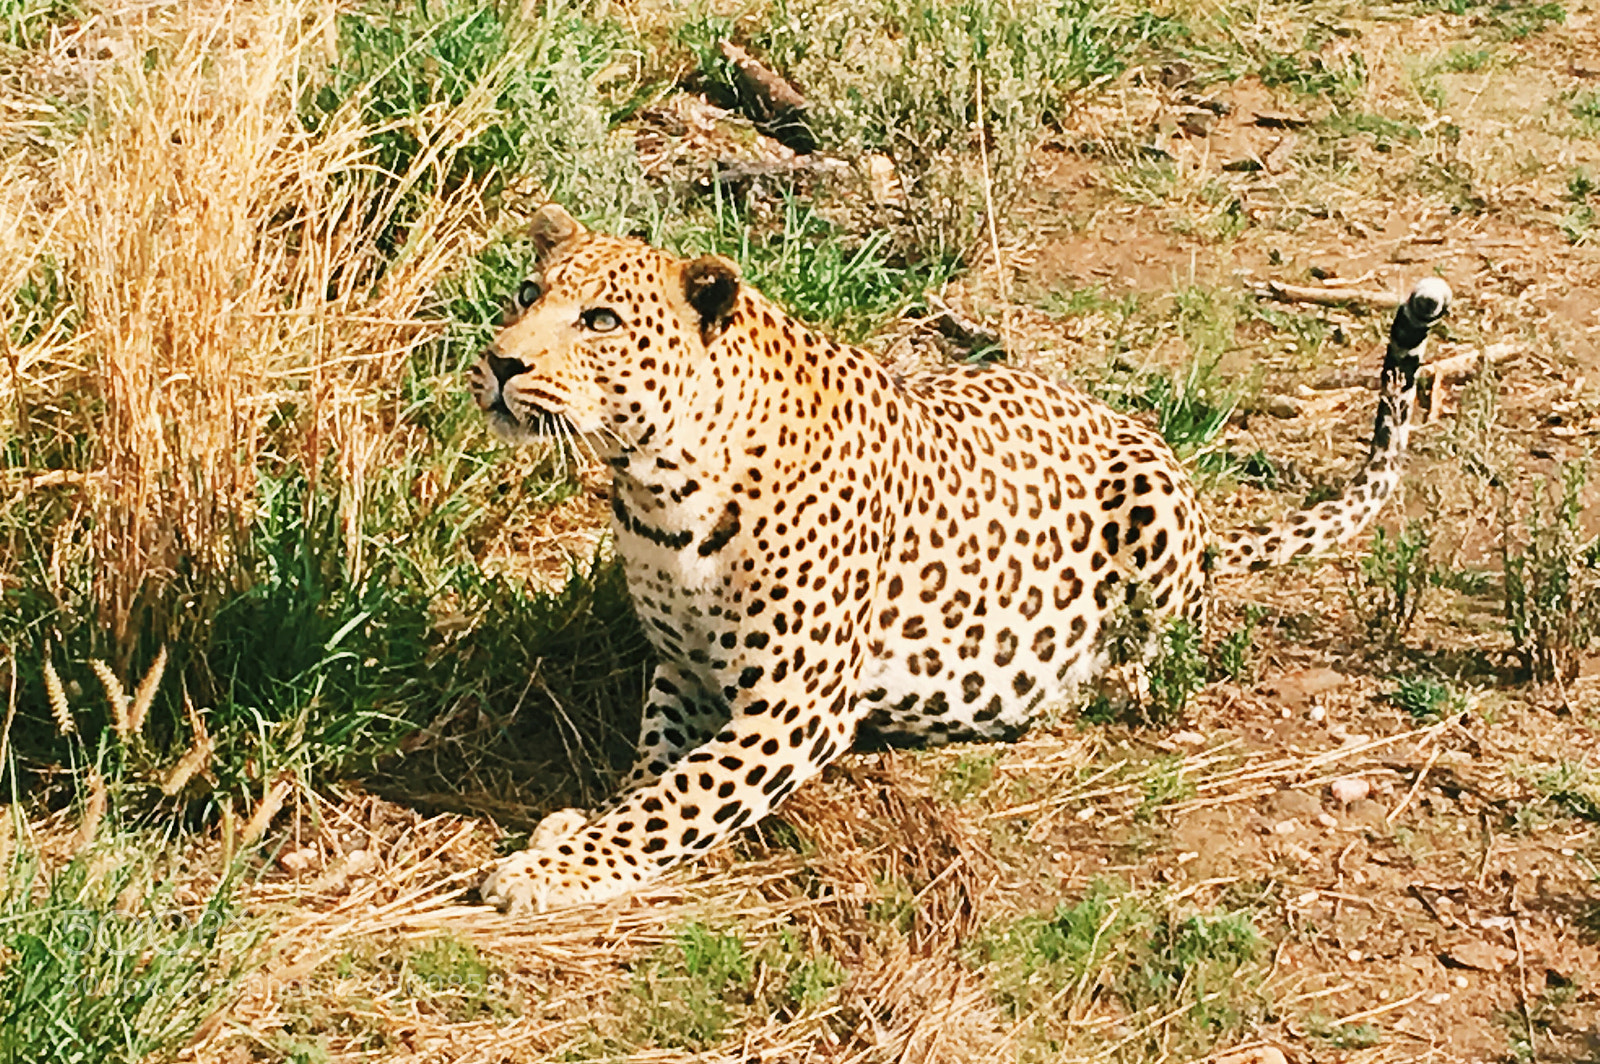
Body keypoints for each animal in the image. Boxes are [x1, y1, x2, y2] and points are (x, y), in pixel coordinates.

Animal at [468, 203, 1452, 914]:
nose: (499, 361)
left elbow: (677, 799)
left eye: (599, 320)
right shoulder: (683, 667)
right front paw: (576, 824)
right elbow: (655, 766)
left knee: (1165, 655)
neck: (659, 489)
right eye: (526, 289)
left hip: (1153, 508)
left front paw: (551, 871)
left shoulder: (798, 705)